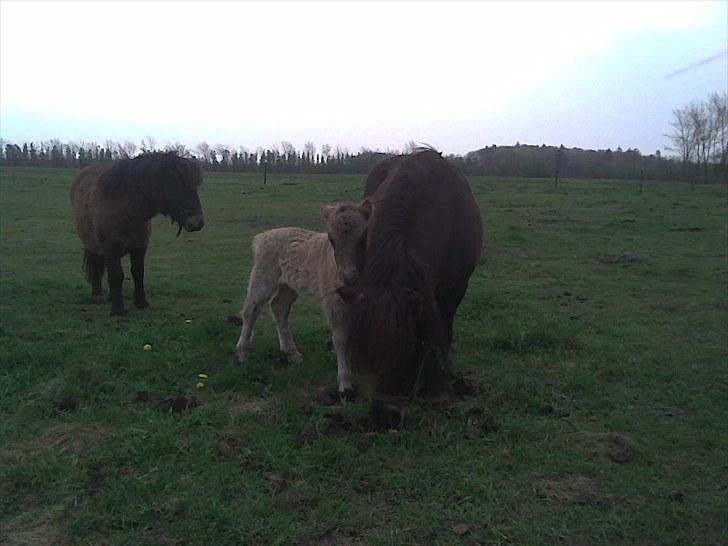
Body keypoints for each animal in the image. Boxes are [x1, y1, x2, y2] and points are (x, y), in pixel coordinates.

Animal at [71, 152, 205, 314]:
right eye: (176, 184)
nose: (197, 221)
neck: (127, 212)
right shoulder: (111, 249)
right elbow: (116, 275)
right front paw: (118, 309)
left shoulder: (140, 247)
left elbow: (138, 272)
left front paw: (141, 303)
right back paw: (97, 295)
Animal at [336, 149, 484, 420]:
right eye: (363, 352)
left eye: (409, 348)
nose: (384, 414)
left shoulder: (453, 291)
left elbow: (442, 333)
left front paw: (437, 386)